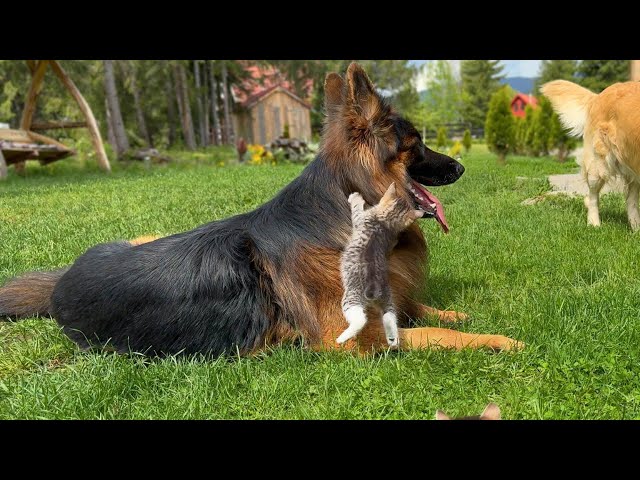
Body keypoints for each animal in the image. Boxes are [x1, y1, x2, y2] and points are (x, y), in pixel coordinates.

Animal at [336, 182, 424, 346]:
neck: (384, 221)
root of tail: (375, 287)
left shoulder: (360, 218)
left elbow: (356, 209)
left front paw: (355, 197)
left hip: (351, 298)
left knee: (360, 320)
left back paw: (342, 338)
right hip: (387, 299)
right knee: (390, 317)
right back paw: (393, 339)